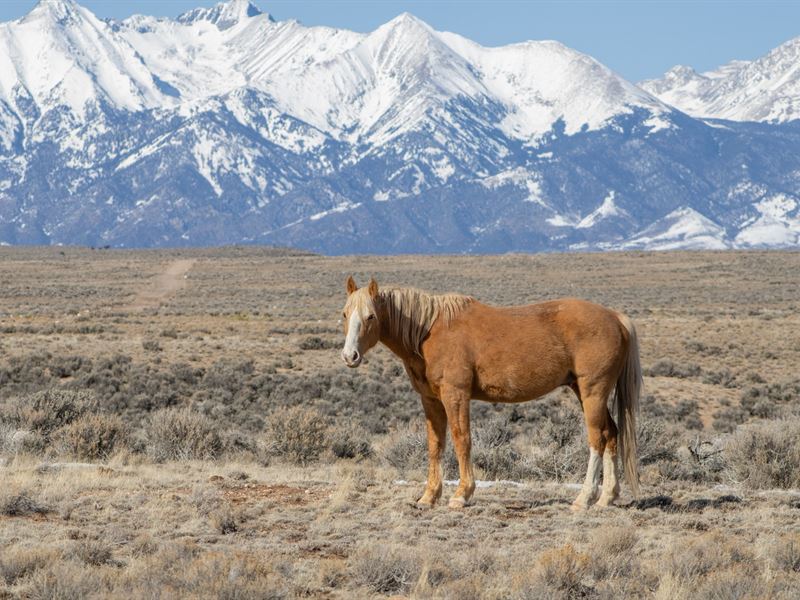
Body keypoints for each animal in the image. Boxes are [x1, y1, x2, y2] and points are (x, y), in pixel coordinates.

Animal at [340, 276, 640, 510]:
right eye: (344, 314)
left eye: (370, 316)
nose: (349, 356)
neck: (428, 331)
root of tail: (616, 318)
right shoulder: (431, 400)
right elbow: (435, 445)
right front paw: (429, 497)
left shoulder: (456, 395)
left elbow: (461, 440)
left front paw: (461, 495)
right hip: (585, 392)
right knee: (611, 434)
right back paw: (606, 498)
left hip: (593, 392)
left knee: (597, 439)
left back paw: (584, 499)